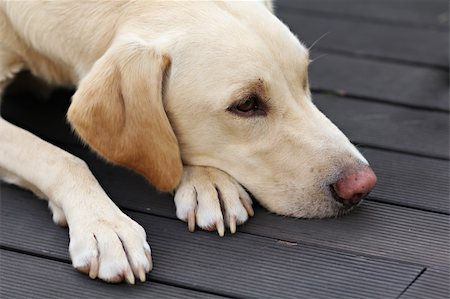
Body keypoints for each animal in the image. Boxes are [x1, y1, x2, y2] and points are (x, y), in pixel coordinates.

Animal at [0, 0, 376, 286]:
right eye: (246, 104)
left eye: (304, 79)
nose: (362, 185)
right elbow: (60, 158)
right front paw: (104, 226)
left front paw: (209, 184)